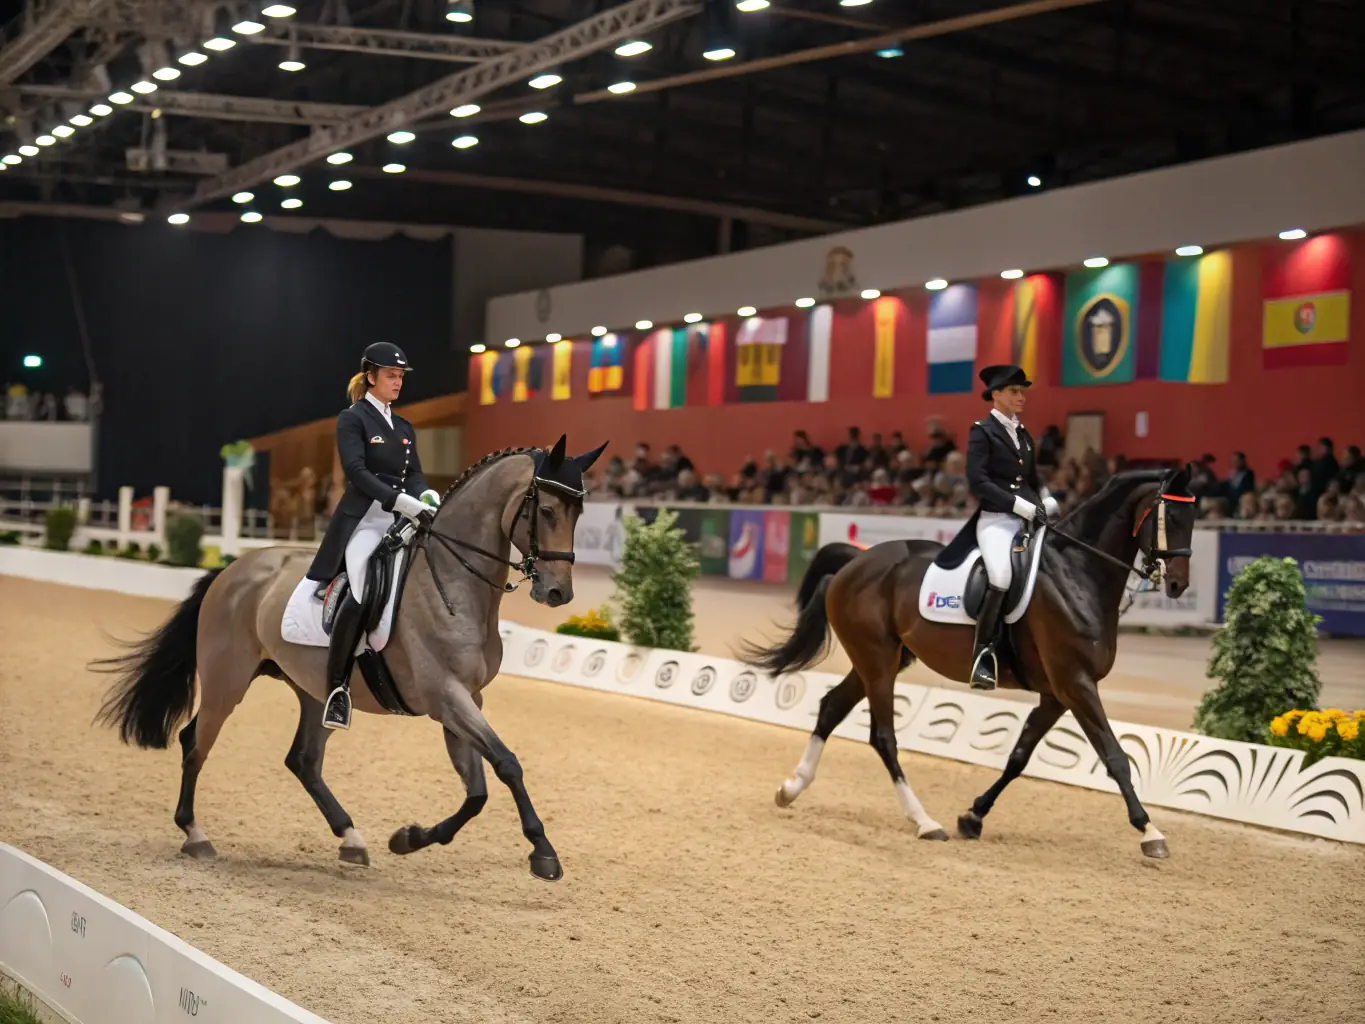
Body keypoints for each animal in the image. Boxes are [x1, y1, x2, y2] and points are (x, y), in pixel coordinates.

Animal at [93, 435, 605, 881]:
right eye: (546, 509)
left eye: (579, 512)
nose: (557, 593)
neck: (454, 584)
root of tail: (232, 569)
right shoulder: (446, 696)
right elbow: (507, 764)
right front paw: (543, 853)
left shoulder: (464, 700)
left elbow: (477, 791)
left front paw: (407, 838)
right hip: (226, 681)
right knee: (195, 741)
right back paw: (195, 834)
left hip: (313, 690)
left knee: (303, 761)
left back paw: (352, 839)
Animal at [742, 465, 1198, 859]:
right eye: (1172, 515)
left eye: (1194, 517)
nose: (1178, 584)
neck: (1077, 573)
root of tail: (855, 561)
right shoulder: (1076, 683)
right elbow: (1114, 755)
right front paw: (1150, 832)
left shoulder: (1056, 694)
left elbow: (1019, 757)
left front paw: (973, 816)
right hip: (877, 660)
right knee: (883, 737)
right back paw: (924, 822)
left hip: (881, 659)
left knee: (832, 707)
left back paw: (791, 788)